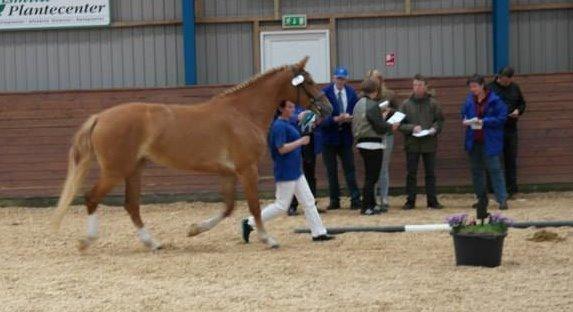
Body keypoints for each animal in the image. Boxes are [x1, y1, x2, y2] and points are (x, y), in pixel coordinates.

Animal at [52, 56, 332, 251]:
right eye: (308, 81)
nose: (327, 107)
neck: (242, 113)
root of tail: (101, 117)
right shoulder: (246, 169)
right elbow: (252, 205)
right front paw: (268, 238)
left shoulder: (228, 173)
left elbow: (228, 208)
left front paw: (195, 229)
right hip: (116, 171)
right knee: (91, 198)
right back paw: (87, 241)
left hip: (134, 170)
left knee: (131, 206)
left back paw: (153, 243)